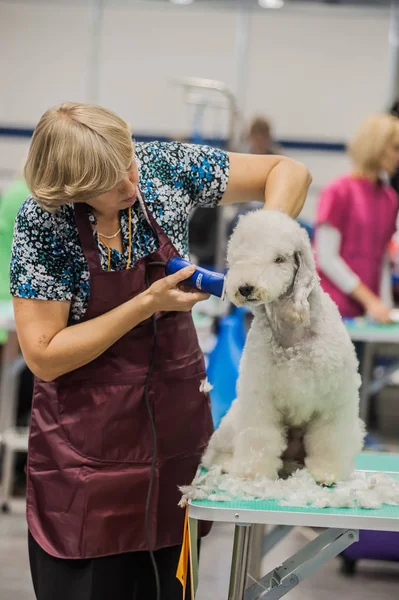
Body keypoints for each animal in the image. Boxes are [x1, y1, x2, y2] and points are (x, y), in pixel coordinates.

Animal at [203, 209, 366, 486]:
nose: (245, 288)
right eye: (239, 258)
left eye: (279, 259)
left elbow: (329, 439)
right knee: (215, 452)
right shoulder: (260, 399)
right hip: (232, 421)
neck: (292, 329)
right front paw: (253, 474)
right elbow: (259, 437)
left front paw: (327, 473)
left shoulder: (334, 399)